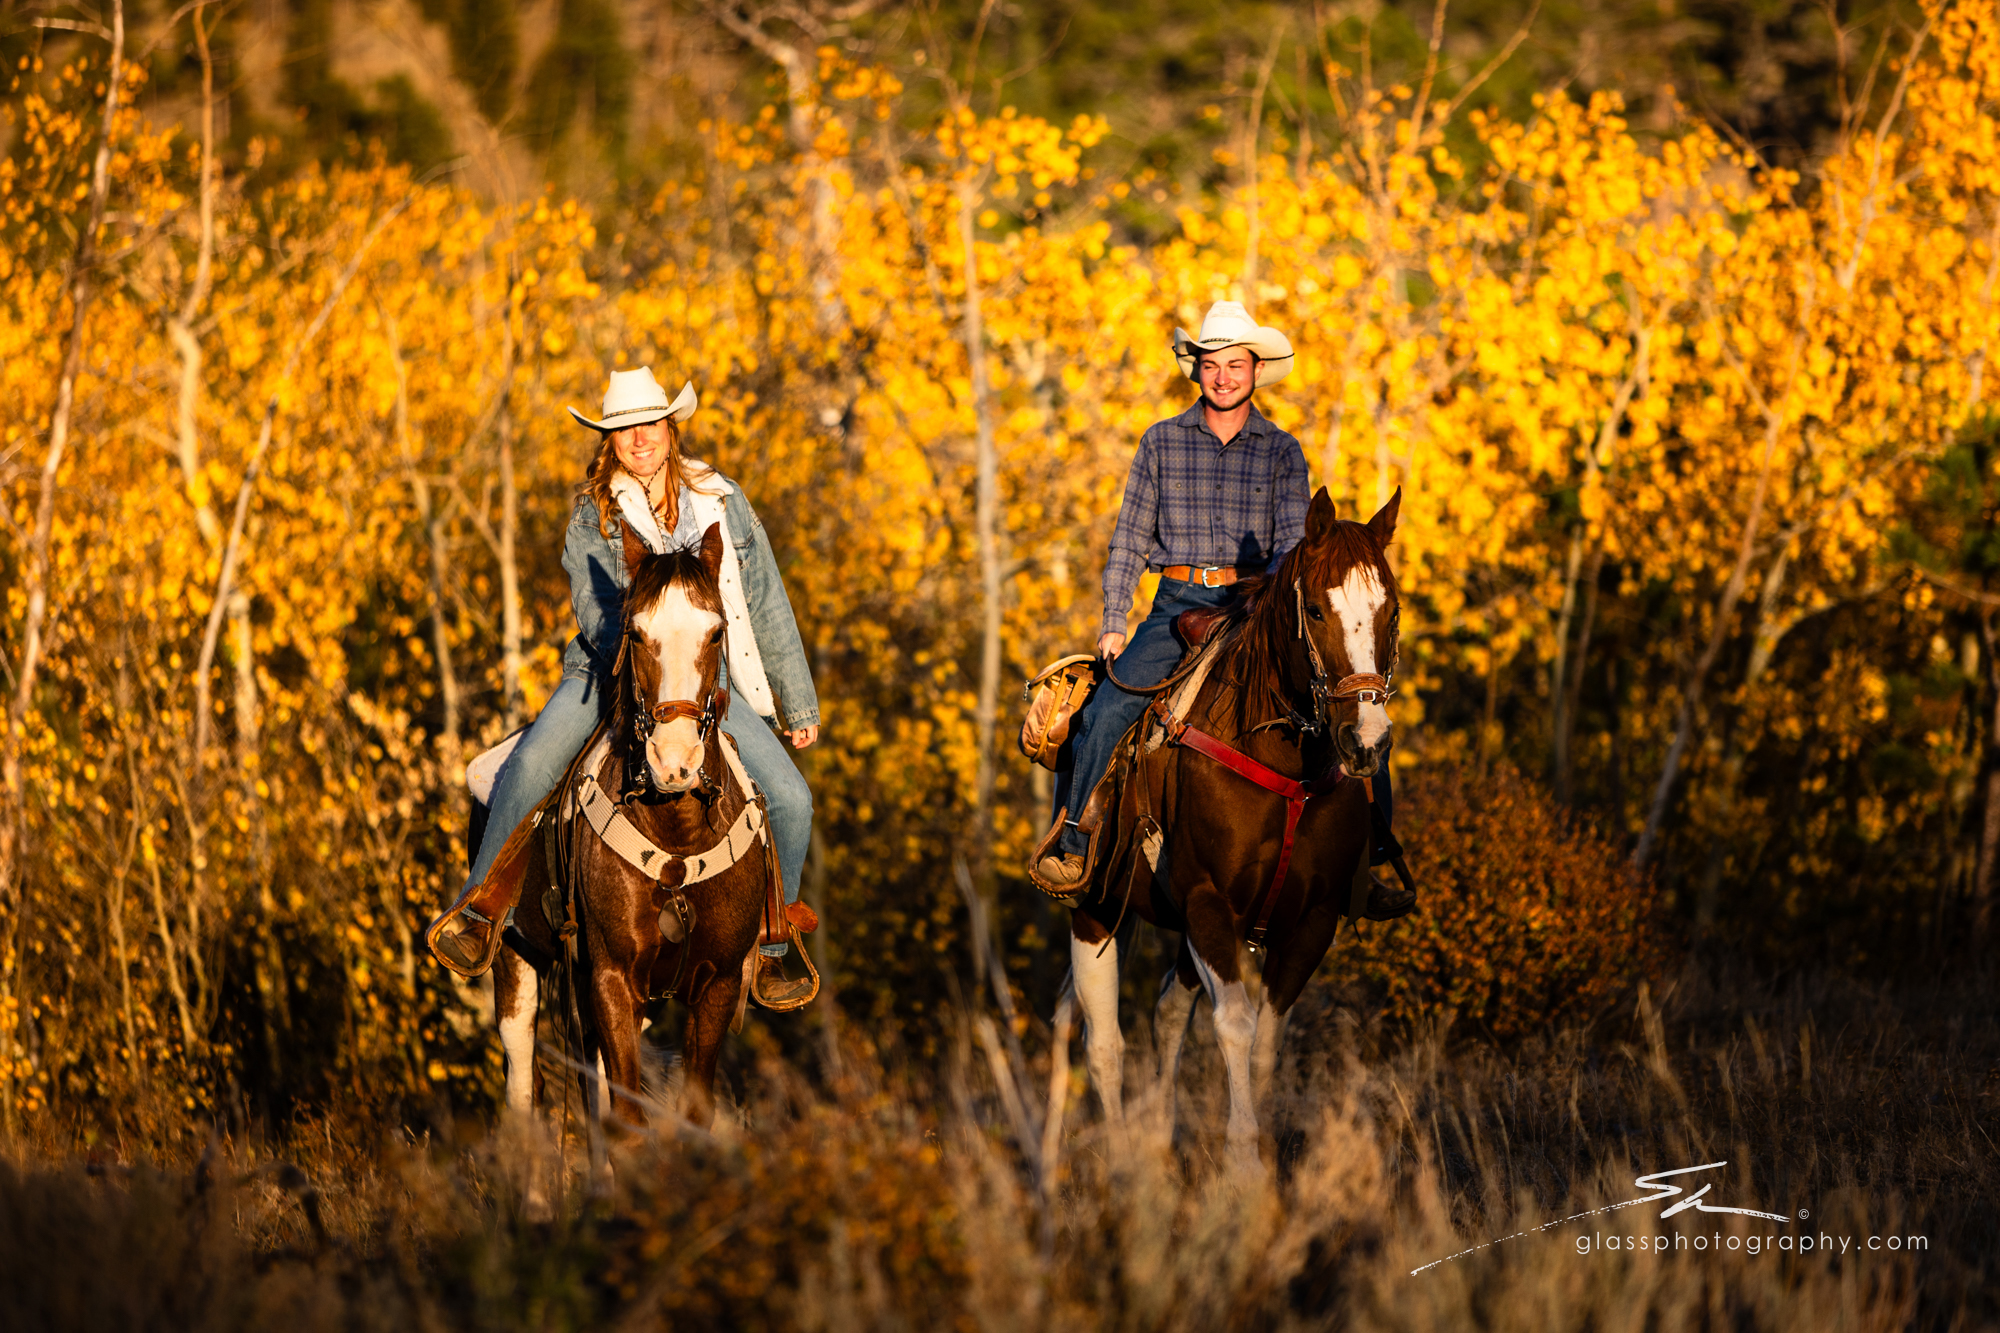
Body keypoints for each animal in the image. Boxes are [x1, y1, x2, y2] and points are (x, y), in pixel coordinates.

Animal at [498, 520, 772, 1128]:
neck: (678, 838)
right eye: (638, 634)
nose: (674, 762)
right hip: (518, 960)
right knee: (522, 1080)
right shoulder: (612, 977)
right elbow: (625, 1121)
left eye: (716, 633)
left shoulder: (717, 985)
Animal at [1072, 482, 1400, 1160]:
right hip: (1093, 909)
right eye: (1317, 613)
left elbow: (1267, 1037)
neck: (1284, 765)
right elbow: (1235, 1025)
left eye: (1392, 614)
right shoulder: (1207, 903)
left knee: (1167, 1012)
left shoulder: (1311, 920)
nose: (1366, 742)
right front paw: (1245, 1161)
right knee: (1104, 1043)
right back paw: (1121, 1157)